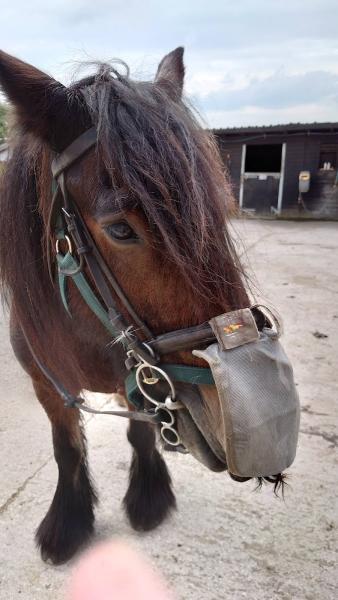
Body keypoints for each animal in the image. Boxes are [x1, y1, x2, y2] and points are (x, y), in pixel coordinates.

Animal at [0, 47, 248, 564]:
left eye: (218, 211)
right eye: (120, 229)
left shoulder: (140, 378)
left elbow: (140, 431)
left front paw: (148, 497)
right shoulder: (48, 384)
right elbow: (66, 447)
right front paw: (68, 522)